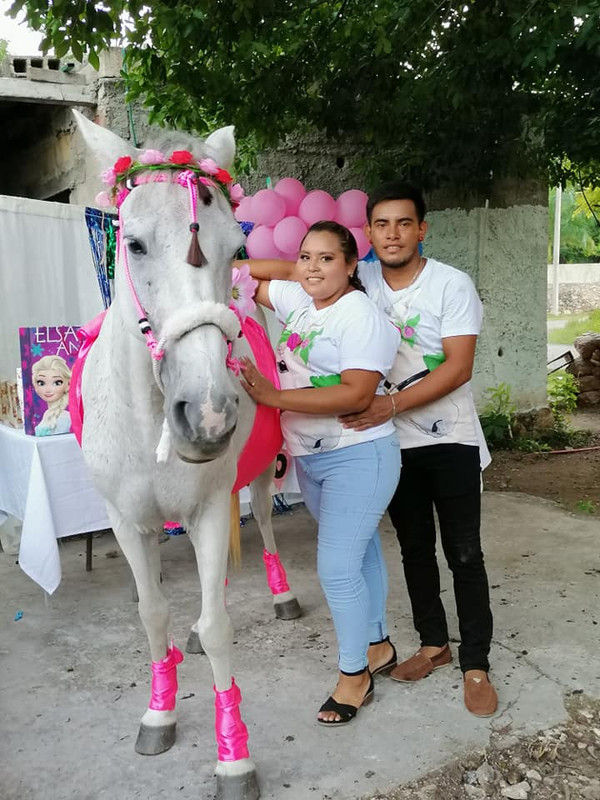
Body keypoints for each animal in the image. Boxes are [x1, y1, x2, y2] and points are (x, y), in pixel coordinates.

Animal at [74, 108, 298, 800]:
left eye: (237, 249)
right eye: (134, 244)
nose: (208, 413)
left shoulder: (205, 509)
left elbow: (222, 628)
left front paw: (234, 758)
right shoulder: (127, 523)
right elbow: (153, 615)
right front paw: (160, 712)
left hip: (259, 474)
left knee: (265, 523)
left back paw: (280, 595)